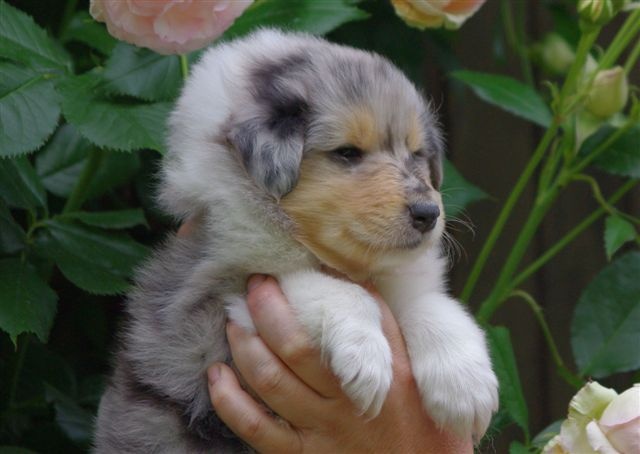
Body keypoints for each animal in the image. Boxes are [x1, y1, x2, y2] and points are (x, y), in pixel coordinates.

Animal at [94, 29, 498, 453]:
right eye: (347, 153)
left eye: (417, 153)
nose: (428, 213)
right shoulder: (221, 294)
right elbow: (327, 287)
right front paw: (366, 356)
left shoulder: (404, 282)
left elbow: (432, 306)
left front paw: (465, 387)